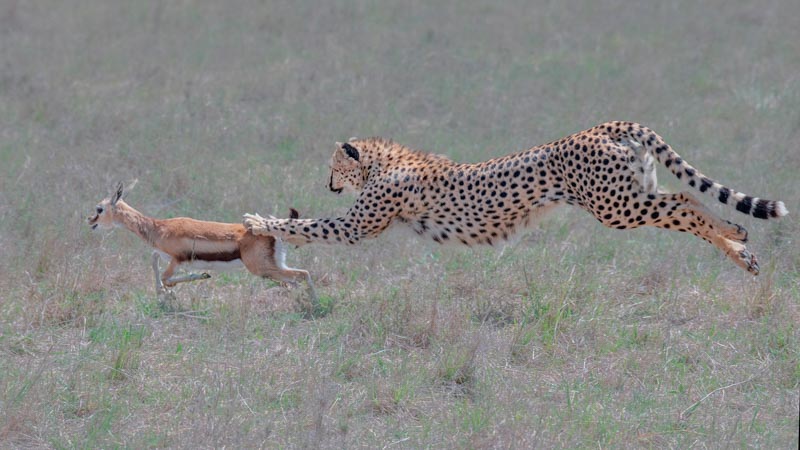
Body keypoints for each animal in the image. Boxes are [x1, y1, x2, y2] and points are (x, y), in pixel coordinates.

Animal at [87, 182, 316, 301]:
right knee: (295, 280)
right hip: (275, 267)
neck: (158, 227)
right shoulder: (164, 256)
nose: (90, 220)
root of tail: (272, 232)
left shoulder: (177, 260)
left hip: (263, 269)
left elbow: (168, 278)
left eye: (99, 208)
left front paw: (197, 277)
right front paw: (164, 292)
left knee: (303, 275)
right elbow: (154, 263)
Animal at [244, 121, 787, 275]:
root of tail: (603, 126)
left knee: (683, 205)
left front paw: (256, 220)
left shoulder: (358, 225)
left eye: (332, 168)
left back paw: (736, 238)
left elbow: (310, 225)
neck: (384, 160)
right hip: (633, 195)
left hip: (617, 207)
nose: (329, 184)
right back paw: (740, 246)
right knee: (686, 202)